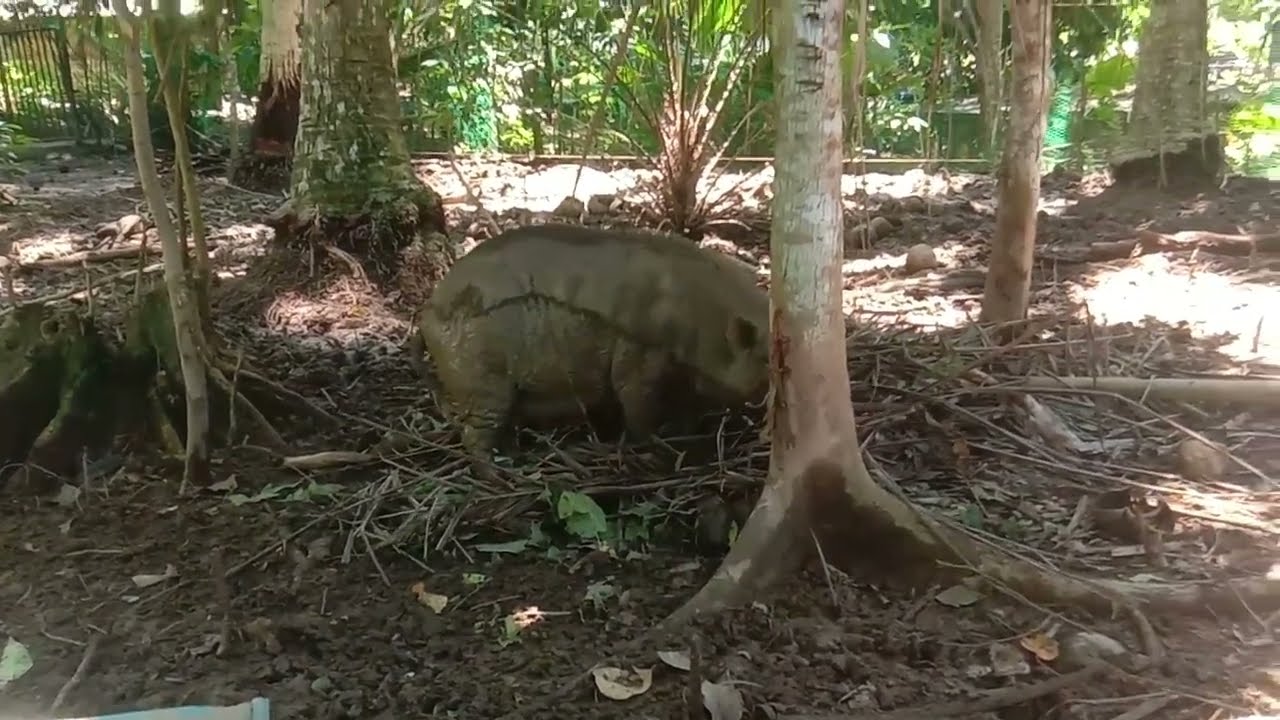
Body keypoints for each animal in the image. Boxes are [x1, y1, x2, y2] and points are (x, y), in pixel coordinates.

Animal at [408, 223, 771, 470]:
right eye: (768, 360)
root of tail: (426, 313)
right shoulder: (639, 355)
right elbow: (637, 404)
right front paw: (658, 450)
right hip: (480, 375)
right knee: (475, 434)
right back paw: (501, 476)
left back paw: (518, 458)